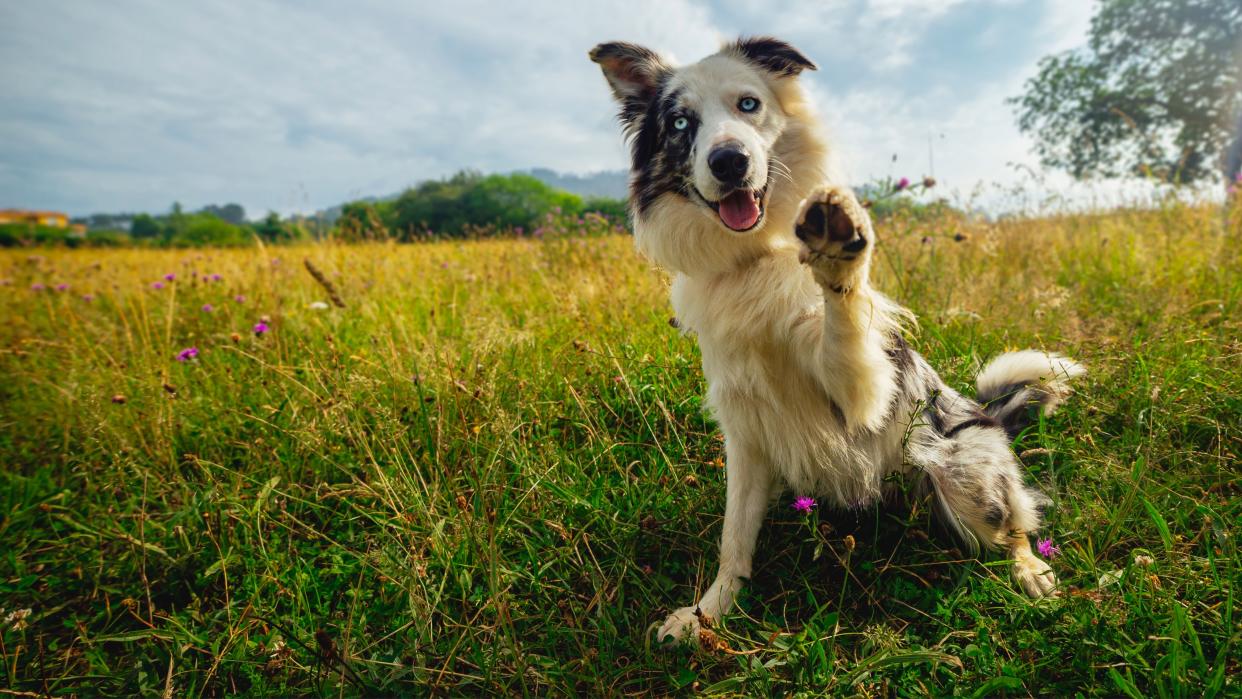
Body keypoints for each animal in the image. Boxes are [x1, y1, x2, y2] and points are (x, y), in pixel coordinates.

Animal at [586, 38, 1083, 645]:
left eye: (748, 103)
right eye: (681, 123)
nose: (729, 161)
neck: (755, 259)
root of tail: (989, 417)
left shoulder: (860, 394)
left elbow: (842, 321)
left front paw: (839, 251)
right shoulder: (745, 430)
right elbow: (734, 537)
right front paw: (709, 613)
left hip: (961, 472)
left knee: (1013, 524)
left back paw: (1030, 568)